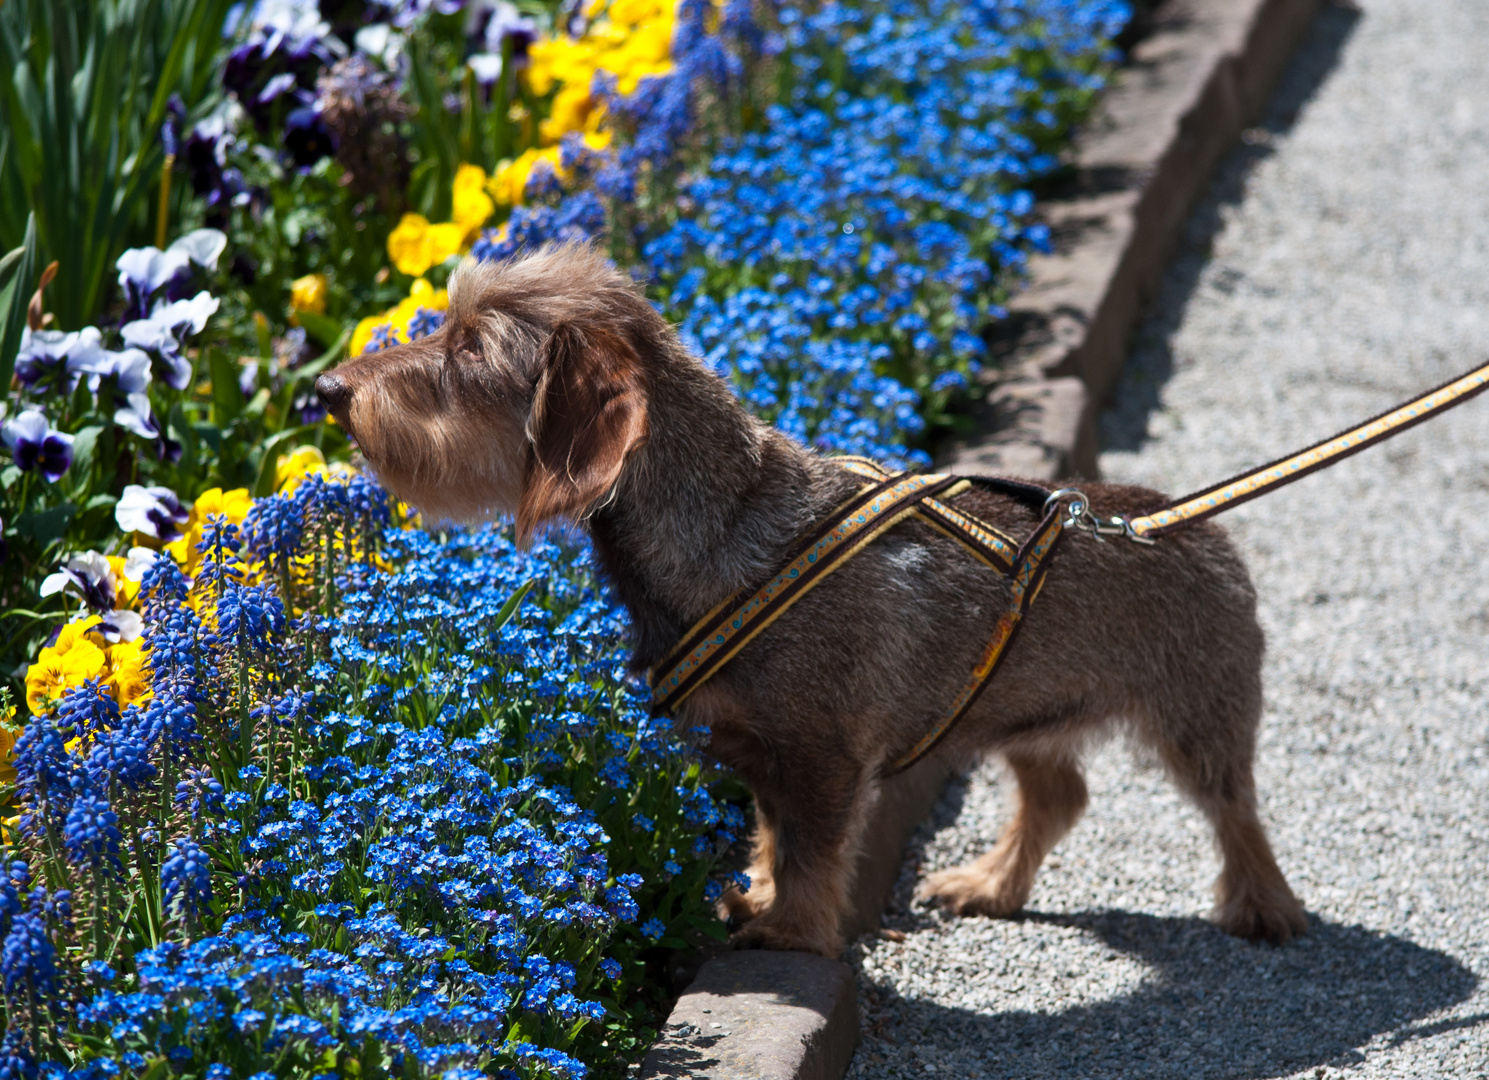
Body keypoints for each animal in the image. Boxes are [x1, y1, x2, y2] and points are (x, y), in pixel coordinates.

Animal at [314, 242, 1304, 953]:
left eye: (470, 349)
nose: (327, 389)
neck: (729, 530)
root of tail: (1182, 520)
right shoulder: (754, 748)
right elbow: (767, 834)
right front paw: (753, 894)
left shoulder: (823, 753)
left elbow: (811, 847)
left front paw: (791, 928)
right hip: (1022, 711)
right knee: (1057, 795)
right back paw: (990, 882)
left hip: (1198, 712)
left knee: (1234, 808)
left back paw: (1264, 905)